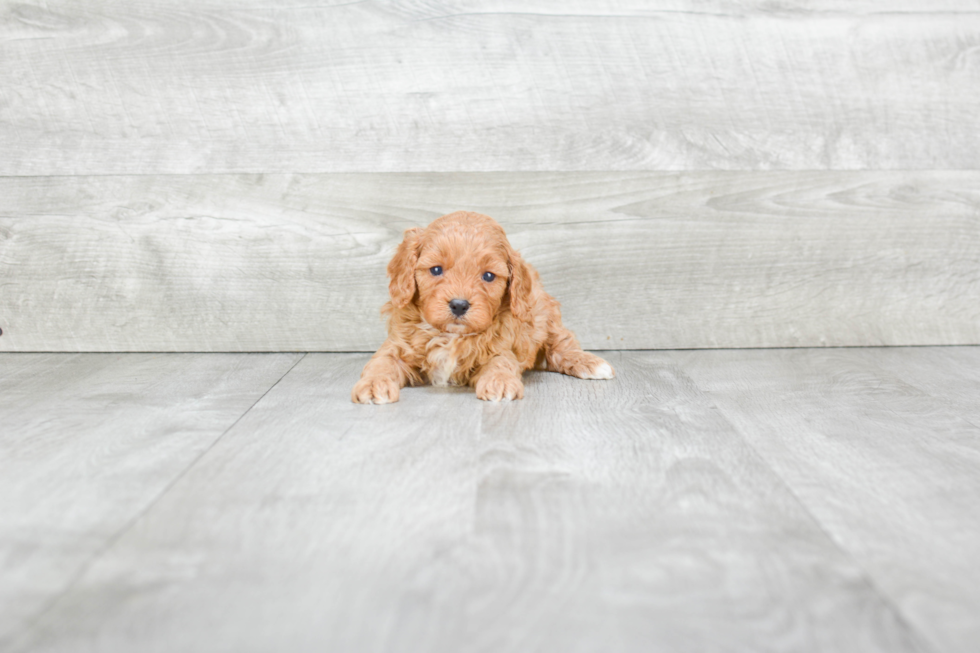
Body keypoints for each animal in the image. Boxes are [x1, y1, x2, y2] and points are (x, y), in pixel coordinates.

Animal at [352, 211, 612, 402]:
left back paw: (590, 363)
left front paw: (500, 382)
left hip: (545, 314)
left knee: (561, 344)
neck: (450, 336)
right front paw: (373, 384)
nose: (459, 305)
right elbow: (381, 362)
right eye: (436, 270)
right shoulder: (396, 345)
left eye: (488, 276)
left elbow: (501, 362)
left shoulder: (502, 346)